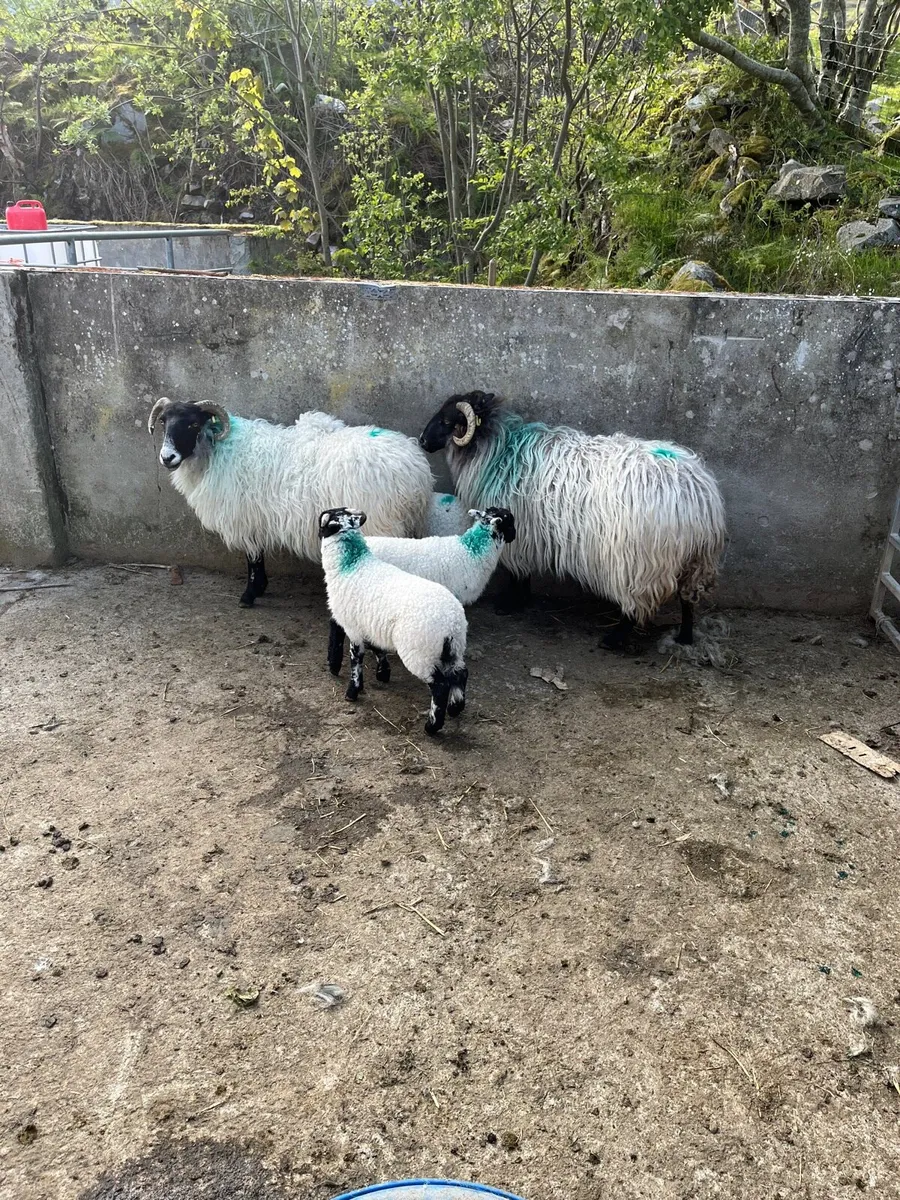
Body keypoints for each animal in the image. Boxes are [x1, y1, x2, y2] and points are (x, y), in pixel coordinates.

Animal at [147, 398, 433, 611]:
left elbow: (252, 557)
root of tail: (416, 470)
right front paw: (260, 588)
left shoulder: (245, 517)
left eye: (193, 423)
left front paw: (249, 595)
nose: (167, 457)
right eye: (163, 421)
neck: (217, 452)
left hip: (383, 524)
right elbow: (257, 555)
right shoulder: (256, 518)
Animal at [318, 508, 468, 736]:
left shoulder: (352, 626)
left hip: (419, 652)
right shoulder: (370, 625)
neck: (351, 563)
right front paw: (382, 674)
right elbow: (377, 649)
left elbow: (355, 660)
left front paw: (352, 692)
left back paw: (432, 726)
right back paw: (455, 708)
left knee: (441, 686)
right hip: (453, 650)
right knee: (461, 674)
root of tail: (452, 622)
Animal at [419, 390, 726, 658]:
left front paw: (511, 603)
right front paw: (520, 600)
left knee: (636, 603)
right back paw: (684, 638)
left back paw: (614, 638)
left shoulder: (520, 533)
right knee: (688, 599)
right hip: (696, 560)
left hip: (639, 561)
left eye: (447, 421)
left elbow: (518, 573)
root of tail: (696, 494)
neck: (498, 449)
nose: (422, 441)